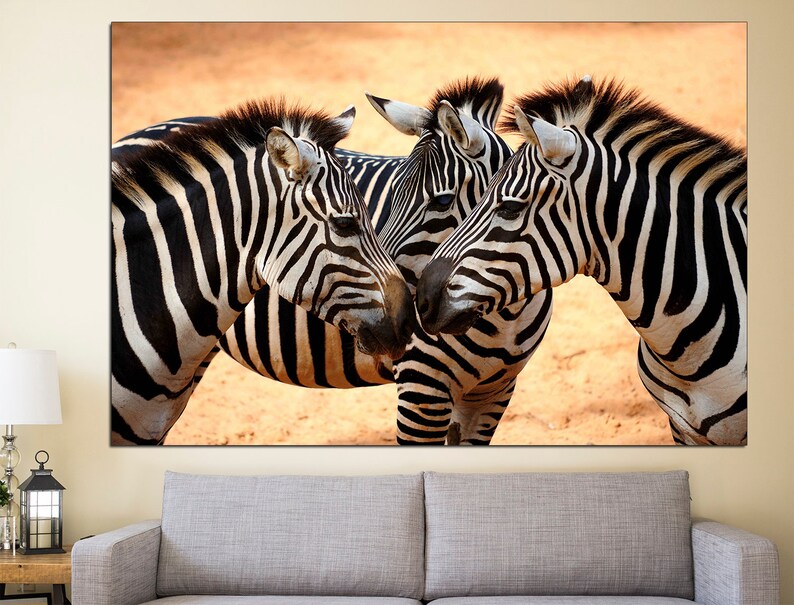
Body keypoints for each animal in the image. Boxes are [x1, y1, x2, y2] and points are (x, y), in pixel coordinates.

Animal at [219, 77, 553, 444]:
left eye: (443, 201)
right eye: (392, 194)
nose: (402, 308)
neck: (506, 316)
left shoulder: (495, 392)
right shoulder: (422, 388)